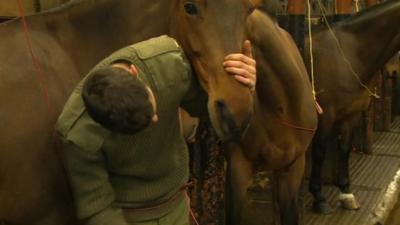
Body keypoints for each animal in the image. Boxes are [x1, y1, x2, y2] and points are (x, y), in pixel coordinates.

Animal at [306, 0, 400, 214]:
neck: (350, 53)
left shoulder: (351, 114)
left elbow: (344, 148)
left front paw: (346, 193)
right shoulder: (325, 115)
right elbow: (320, 151)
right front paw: (318, 197)